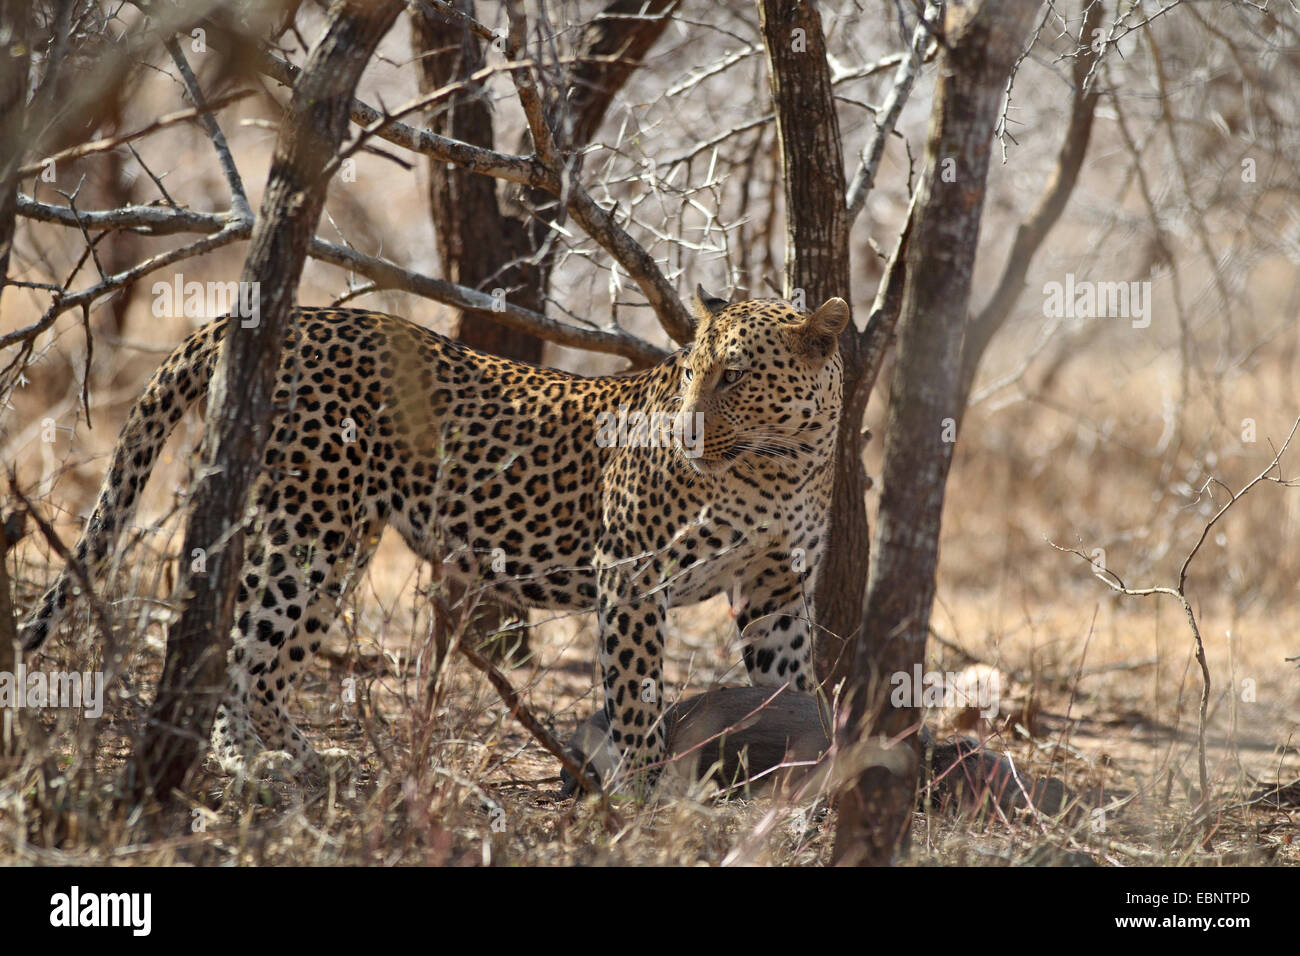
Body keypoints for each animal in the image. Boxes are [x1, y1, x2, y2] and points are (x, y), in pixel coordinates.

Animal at [22, 291, 852, 790]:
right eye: (690, 373)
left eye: (733, 377)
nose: (682, 430)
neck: (782, 463)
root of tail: (275, 316)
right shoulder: (631, 575)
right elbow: (636, 693)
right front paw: (644, 789)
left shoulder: (776, 590)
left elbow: (790, 685)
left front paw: (815, 768)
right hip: (304, 526)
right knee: (237, 642)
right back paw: (247, 761)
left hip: (339, 543)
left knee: (268, 662)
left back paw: (311, 757)